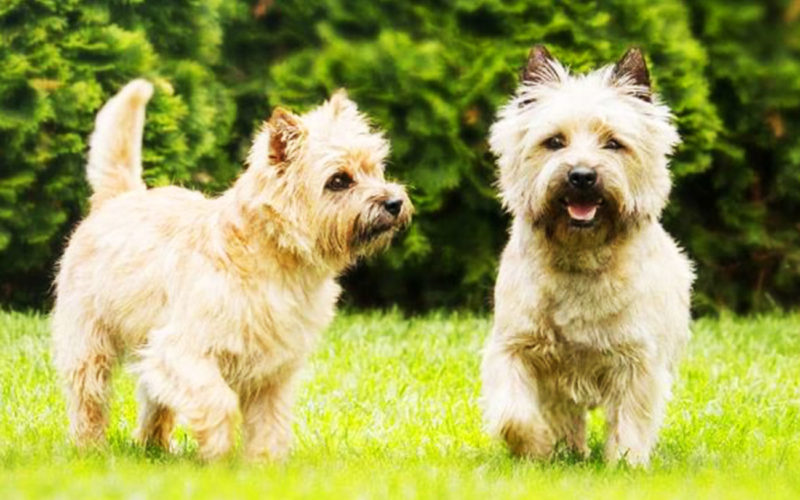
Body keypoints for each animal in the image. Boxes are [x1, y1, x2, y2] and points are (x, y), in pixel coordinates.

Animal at [52, 79, 412, 460]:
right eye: (339, 180)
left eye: (376, 169)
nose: (394, 202)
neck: (273, 259)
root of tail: (118, 198)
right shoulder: (181, 351)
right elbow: (218, 401)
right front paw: (218, 453)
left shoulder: (273, 371)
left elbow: (270, 422)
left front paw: (264, 465)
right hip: (89, 342)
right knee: (88, 398)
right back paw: (90, 449)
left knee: (154, 401)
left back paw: (156, 449)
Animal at [482, 46, 692, 464]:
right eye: (554, 141)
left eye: (613, 143)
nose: (581, 176)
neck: (581, 253)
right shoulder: (514, 346)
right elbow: (514, 413)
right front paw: (537, 446)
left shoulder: (637, 359)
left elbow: (630, 417)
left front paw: (626, 463)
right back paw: (567, 450)